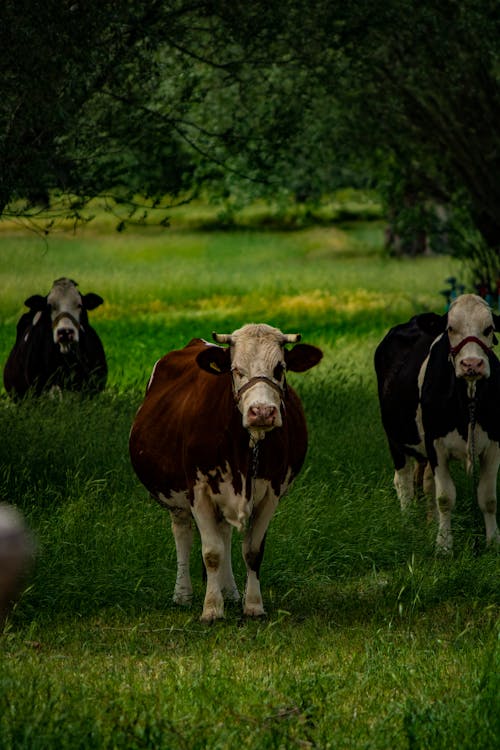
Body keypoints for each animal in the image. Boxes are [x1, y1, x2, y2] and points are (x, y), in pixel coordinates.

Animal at [129, 324, 322, 624]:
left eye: (280, 368)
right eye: (235, 369)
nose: (262, 412)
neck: (244, 448)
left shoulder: (271, 492)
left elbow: (252, 551)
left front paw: (252, 604)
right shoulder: (198, 491)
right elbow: (211, 553)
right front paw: (211, 609)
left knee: (225, 533)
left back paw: (230, 591)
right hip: (176, 497)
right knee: (182, 534)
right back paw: (183, 594)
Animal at [376, 294, 500, 552]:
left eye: (489, 328)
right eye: (450, 328)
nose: (471, 364)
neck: (467, 401)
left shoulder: (494, 445)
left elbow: (488, 498)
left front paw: (493, 543)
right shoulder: (436, 446)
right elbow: (445, 498)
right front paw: (444, 545)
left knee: (425, 483)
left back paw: (430, 523)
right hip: (394, 438)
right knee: (403, 481)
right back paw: (408, 522)